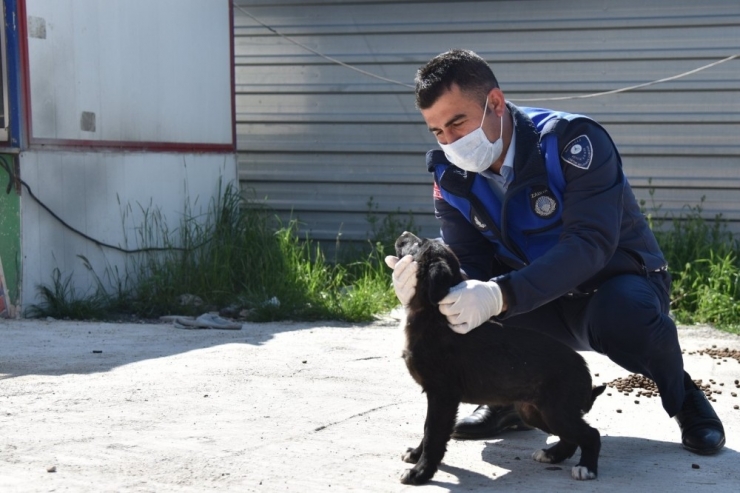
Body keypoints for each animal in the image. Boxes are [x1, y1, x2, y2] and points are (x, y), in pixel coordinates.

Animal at [396, 232, 604, 484]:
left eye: (418, 244)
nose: (403, 235)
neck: (434, 314)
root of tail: (584, 369)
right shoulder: (437, 395)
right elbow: (427, 429)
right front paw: (416, 456)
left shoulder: (443, 394)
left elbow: (433, 434)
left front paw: (421, 472)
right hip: (534, 411)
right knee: (571, 437)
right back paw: (552, 455)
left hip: (557, 409)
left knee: (591, 434)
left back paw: (587, 467)